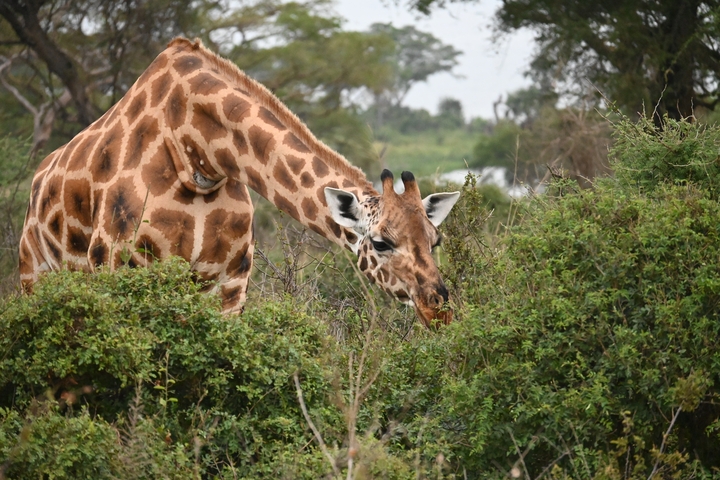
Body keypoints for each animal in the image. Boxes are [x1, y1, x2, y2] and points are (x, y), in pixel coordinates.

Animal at [18, 37, 460, 327]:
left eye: (435, 240)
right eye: (382, 243)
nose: (438, 308)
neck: (198, 154)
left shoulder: (228, 286)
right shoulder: (117, 269)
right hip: (34, 275)